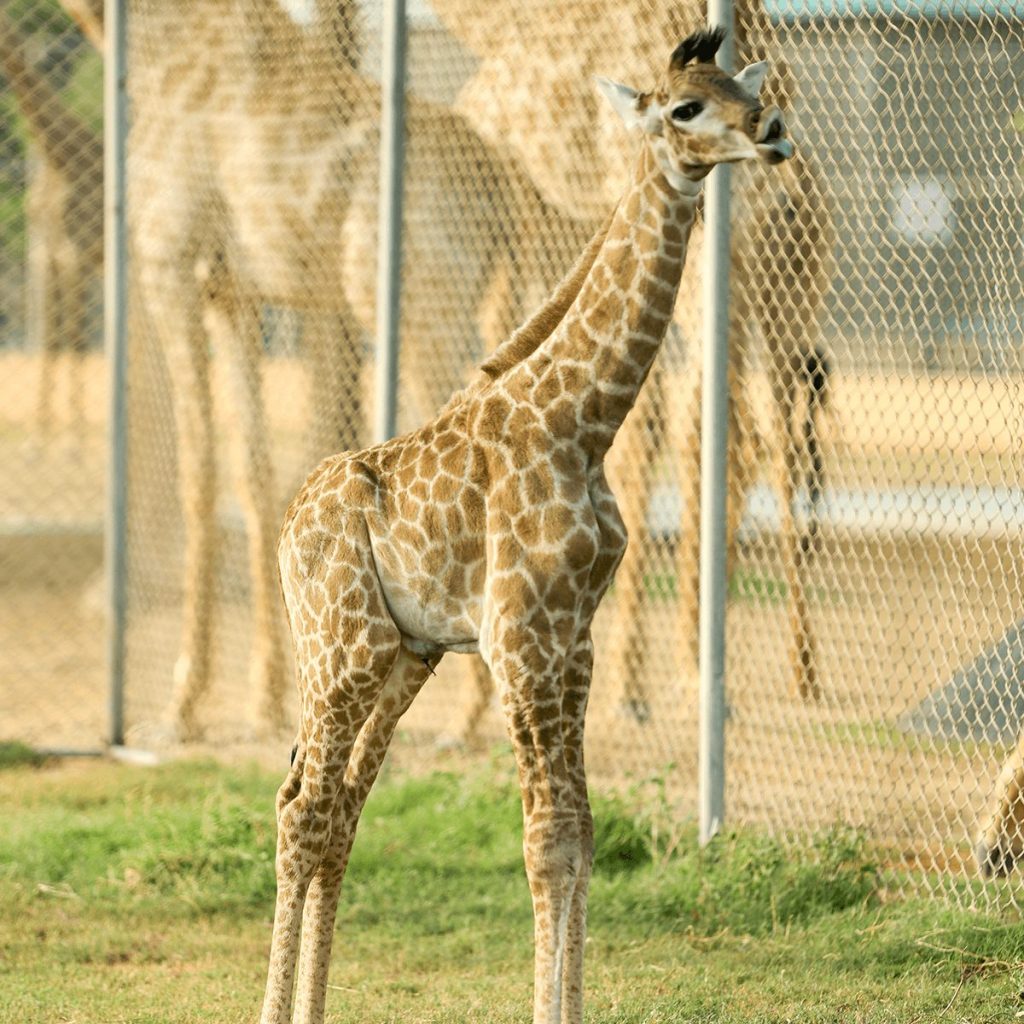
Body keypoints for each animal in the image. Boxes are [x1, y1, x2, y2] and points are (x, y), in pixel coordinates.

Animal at [125, 0, 583, 740]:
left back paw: (471, 712)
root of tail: (501, 184)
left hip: (418, 297)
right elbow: (254, 473)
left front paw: (181, 707)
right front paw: (263, 701)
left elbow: (198, 473)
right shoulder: (234, 292)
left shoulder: (169, 261)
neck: (155, 47)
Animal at [260, 28, 793, 1024]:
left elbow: (580, 833)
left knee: (338, 809)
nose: (772, 131)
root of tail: (287, 526)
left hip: (405, 656)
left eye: (739, 88)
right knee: (302, 810)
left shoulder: (570, 643)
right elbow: (544, 841)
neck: (582, 420)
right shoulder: (518, 641)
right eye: (684, 107)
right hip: (339, 647)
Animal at [432, 0, 833, 717]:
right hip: (789, 292)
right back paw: (796, 674)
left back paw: (684, 675)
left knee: (717, 433)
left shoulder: (524, 205)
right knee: (773, 443)